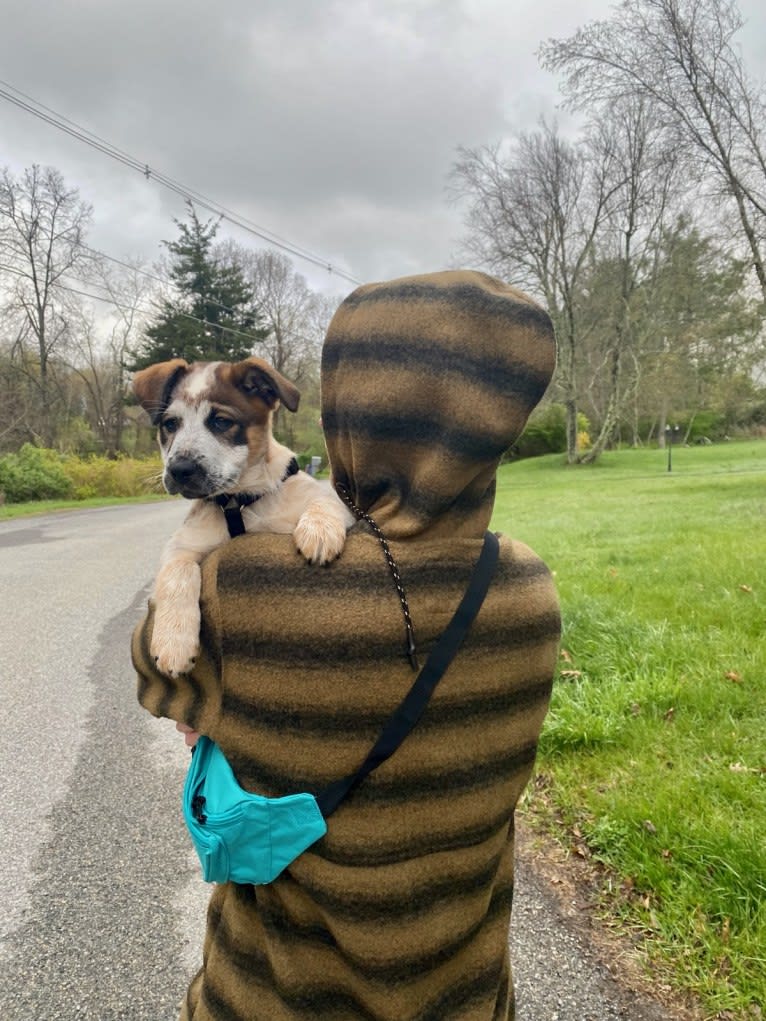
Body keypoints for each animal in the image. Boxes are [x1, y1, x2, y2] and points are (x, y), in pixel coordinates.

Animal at [134, 355, 353, 673]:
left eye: (221, 421)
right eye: (170, 424)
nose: (179, 470)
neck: (238, 503)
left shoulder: (332, 502)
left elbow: (323, 500)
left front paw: (319, 532)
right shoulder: (182, 546)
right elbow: (177, 575)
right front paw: (174, 643)